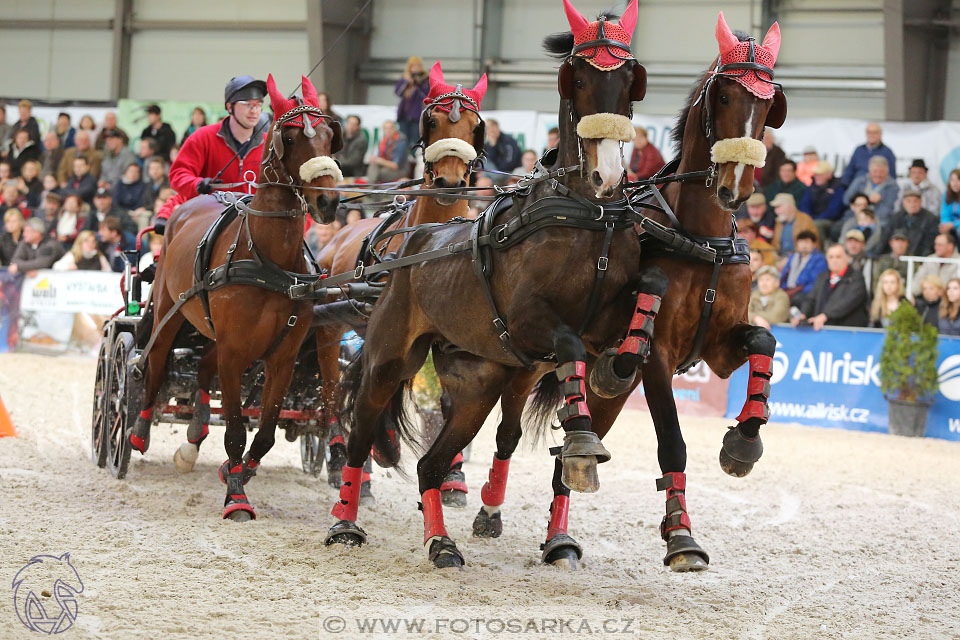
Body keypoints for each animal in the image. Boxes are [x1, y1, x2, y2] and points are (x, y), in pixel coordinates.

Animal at [131, 76, 342, 520]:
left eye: (330, 137)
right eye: (290, 137)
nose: (328, 202)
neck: (267, 259)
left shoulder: (281, 358)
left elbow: (263, 434)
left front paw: (239, 472)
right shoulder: (234, 353)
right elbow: (232, 429)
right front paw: (236, 498)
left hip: (213, 332)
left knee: (201, 371)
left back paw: (193, 436)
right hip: (170, 311)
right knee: (154, 364)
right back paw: (139, 430)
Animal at [316, 65, 488, 504]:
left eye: (475, 126)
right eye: (433, 121)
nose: (449, 182)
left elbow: (447, 402)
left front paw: (453, 476)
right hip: (332, 328)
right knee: (335, 391)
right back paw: (348, 466)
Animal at [474, 8, 788, 568]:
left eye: (769, 102)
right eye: (725, 96)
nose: (736, 186)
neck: (701, 238)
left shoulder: (720, 347)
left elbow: (763, 340)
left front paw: (744, 440)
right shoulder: (658, 357)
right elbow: (672, 441)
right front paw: (682, 535)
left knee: (568, 455)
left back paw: (559, 539)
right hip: (522, 362)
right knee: (509, 432)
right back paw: (487, 506)